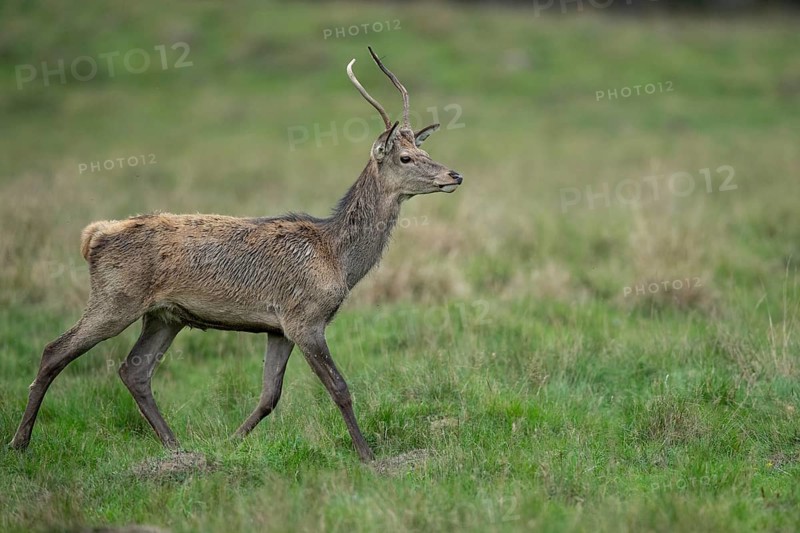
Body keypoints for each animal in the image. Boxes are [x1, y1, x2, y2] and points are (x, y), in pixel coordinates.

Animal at [9, 47, 463, 462]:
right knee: (54, 350)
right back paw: (20, 442)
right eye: (406, 157)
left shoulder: (278, 328)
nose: (454, 174)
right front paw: (367, 455)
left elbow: (269, 395)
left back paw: (175, 446)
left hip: (165, 316)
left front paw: (231, 442)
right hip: (114, 298)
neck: (338, 259)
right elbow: (339, 387)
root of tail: (94, 236)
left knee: (134, 369)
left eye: (426, 152)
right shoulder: (305, 317)